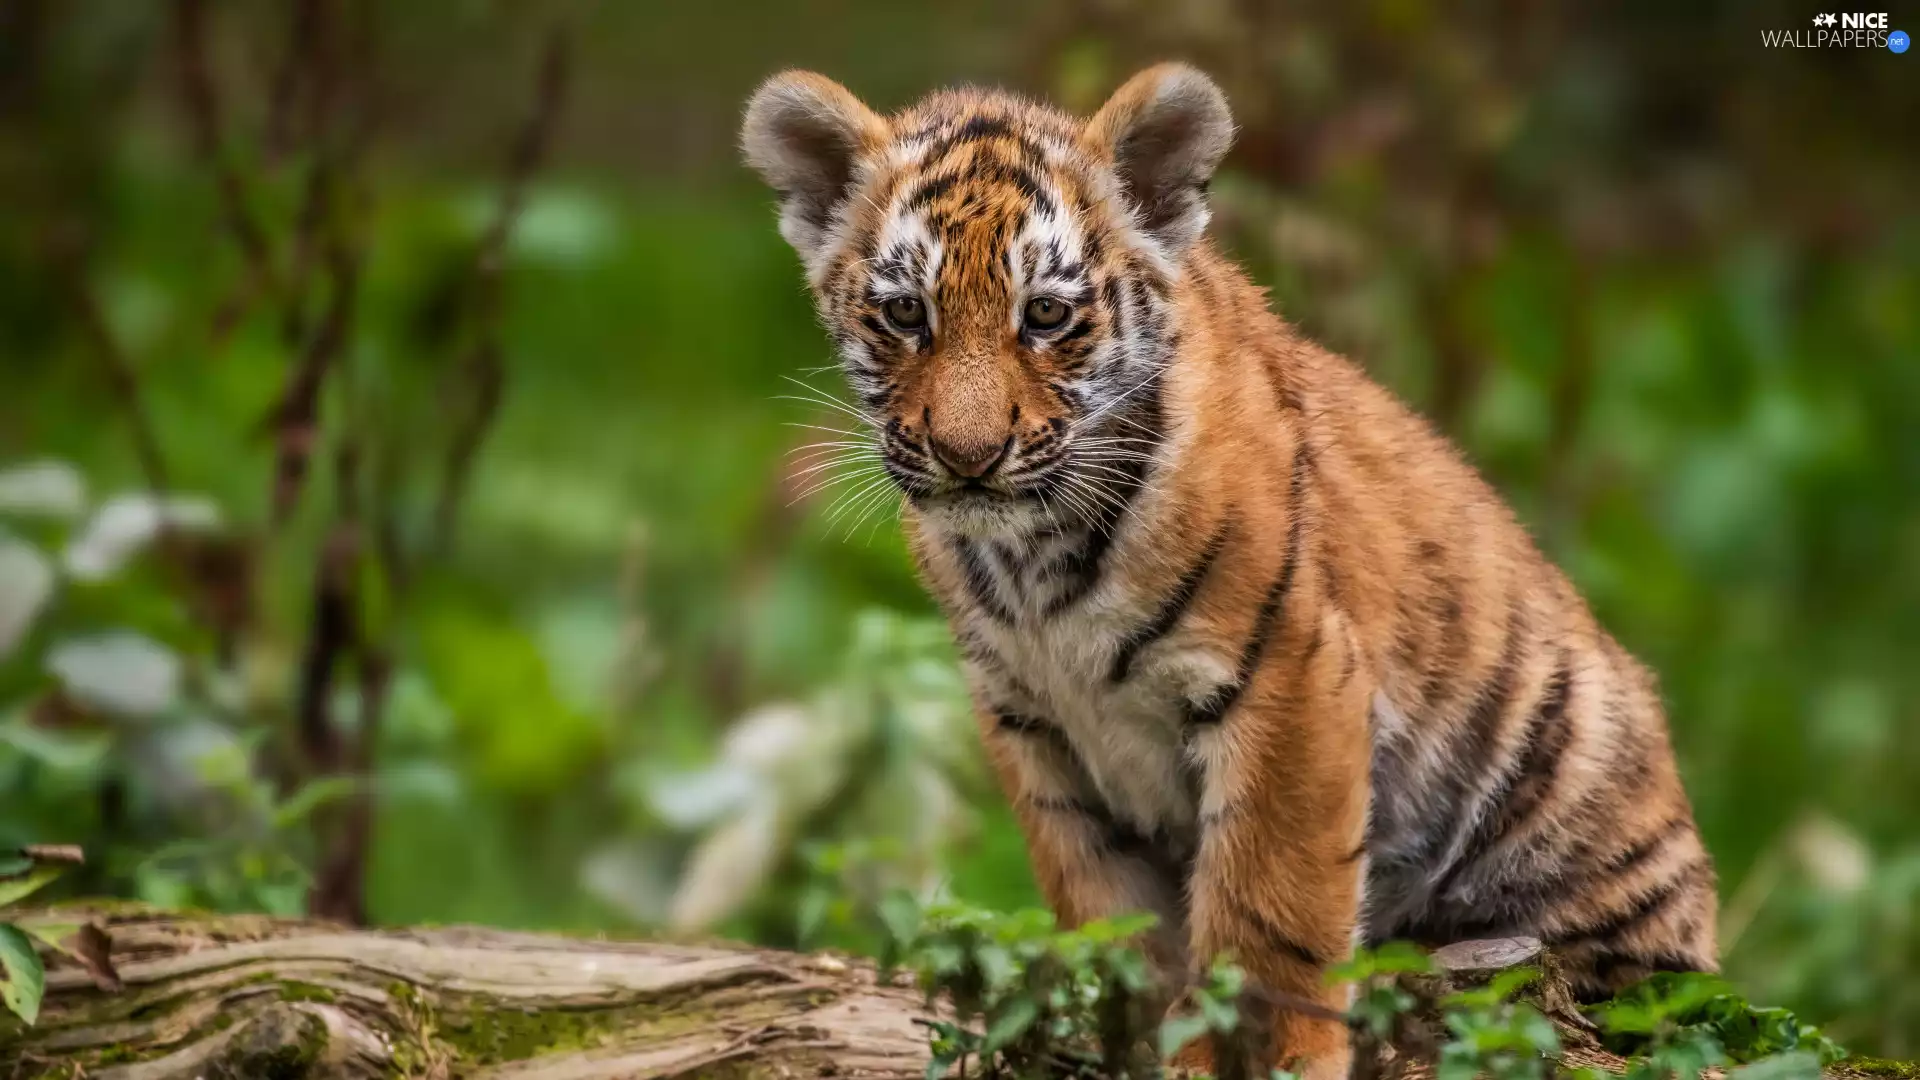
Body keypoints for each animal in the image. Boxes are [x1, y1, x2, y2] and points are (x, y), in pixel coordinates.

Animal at [741, 64, 1718, 1078]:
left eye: (1045, 314)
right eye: (906, 313)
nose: (968, 458)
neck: (1034, 560)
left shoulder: (1291, 680)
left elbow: (1269, 908)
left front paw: (1261, 1052)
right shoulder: (1030, 720)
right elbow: (1108, 913)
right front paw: (1131, 1037)